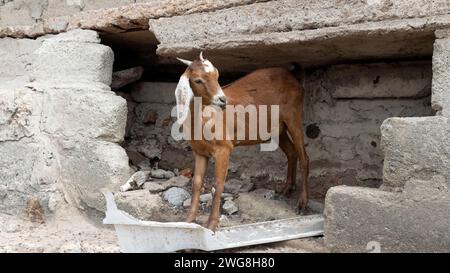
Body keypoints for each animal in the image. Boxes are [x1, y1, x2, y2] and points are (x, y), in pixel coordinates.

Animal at [173, 52, 310, 230]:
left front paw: (212, 223)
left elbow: (218, 184)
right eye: (198, 80)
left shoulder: (223, 148)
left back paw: (302, 203)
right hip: (278, 129)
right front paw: (188, 220)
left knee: (304, 158)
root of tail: (294, 78)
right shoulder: (199, 151)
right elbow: (196, 183)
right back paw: (287, 188)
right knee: (292, 153)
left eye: (217, 75)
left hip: (294, 117)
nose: (222, 100)